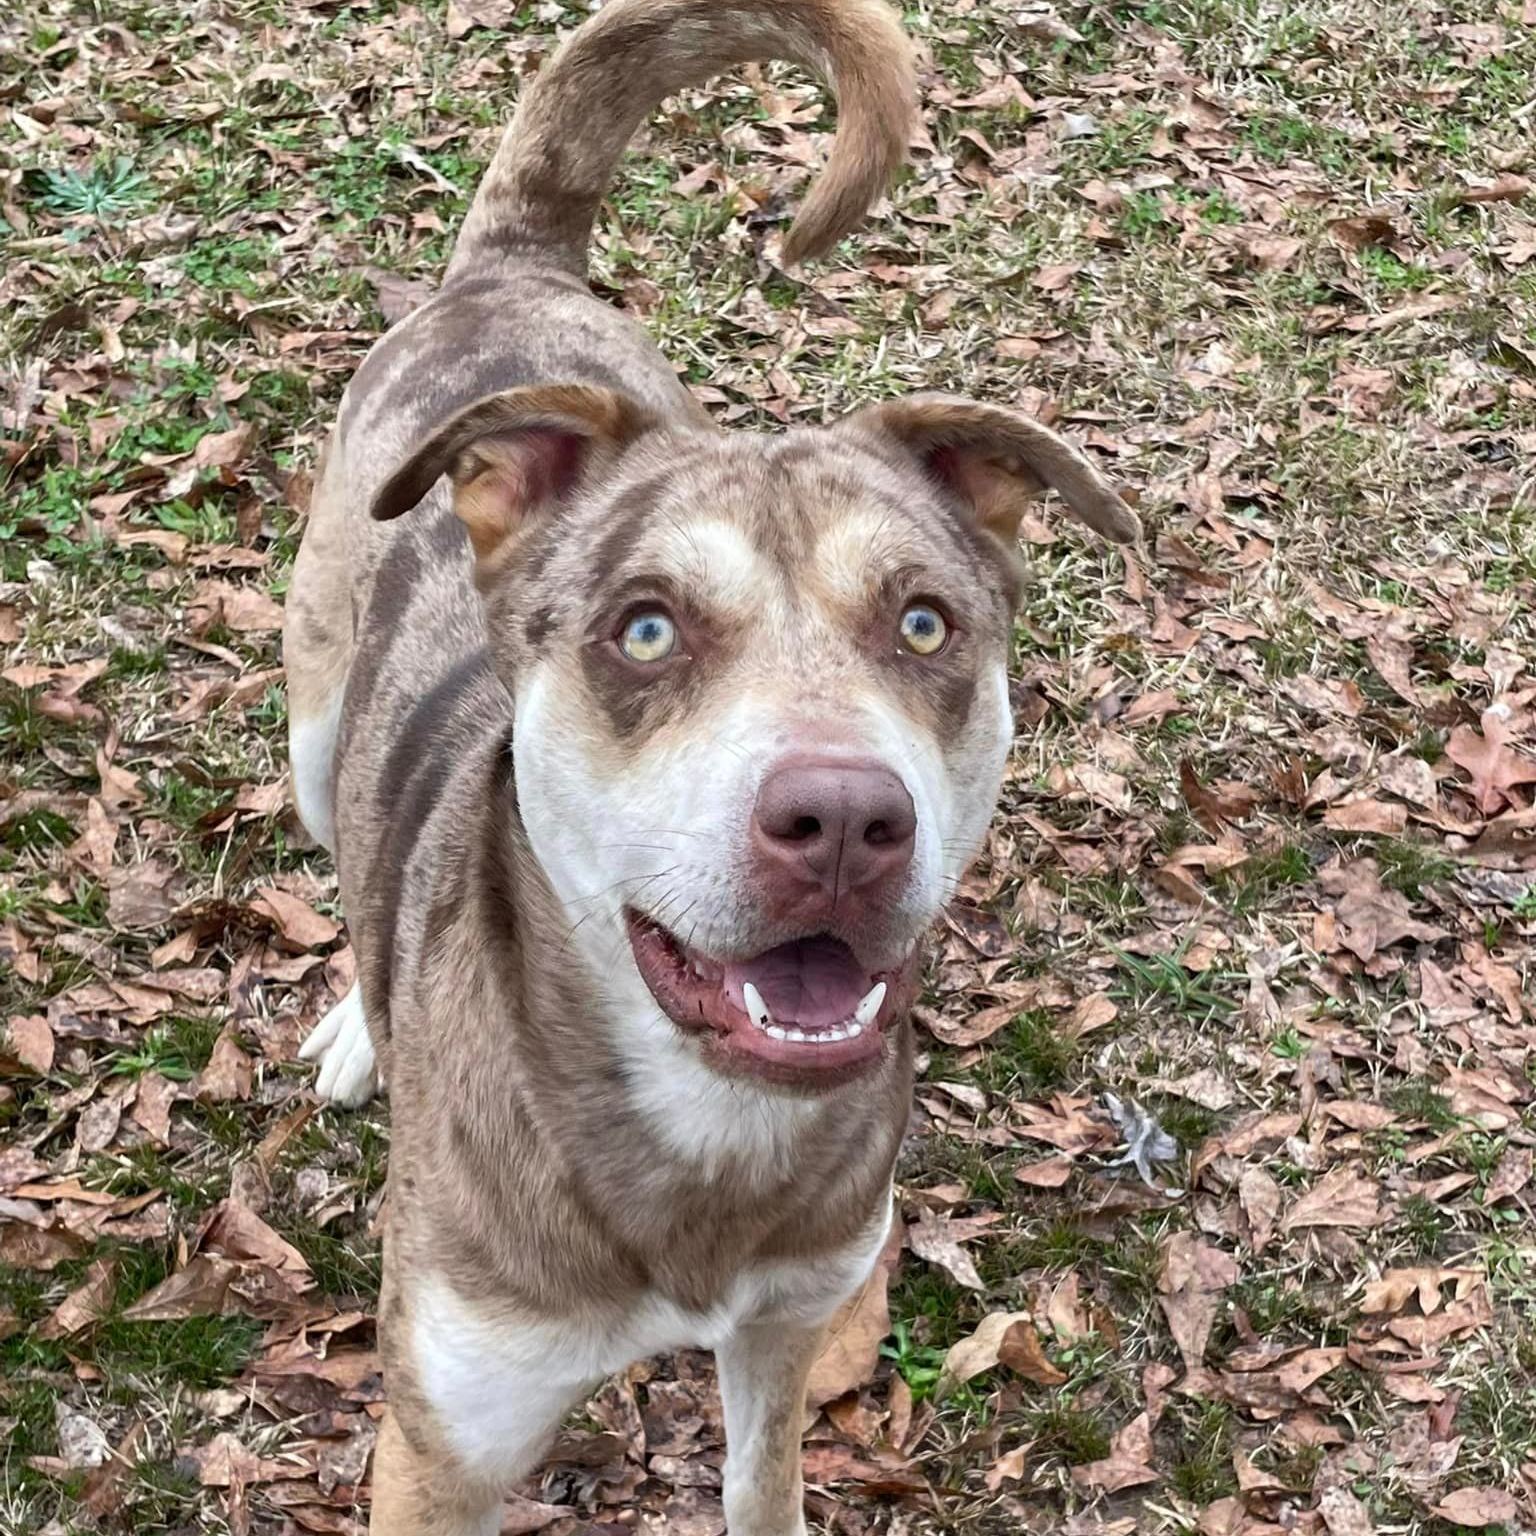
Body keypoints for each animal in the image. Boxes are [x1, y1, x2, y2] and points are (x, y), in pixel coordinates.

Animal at [282, 6, 1136, 1529]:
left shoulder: (789, 1329)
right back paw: (359, 1029)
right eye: (646, 628)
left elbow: (761, 1478)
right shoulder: (448, 1439)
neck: (707, 1133)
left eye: (926, 622)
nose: (846, 821)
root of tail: (514, 270)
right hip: (315, 726)